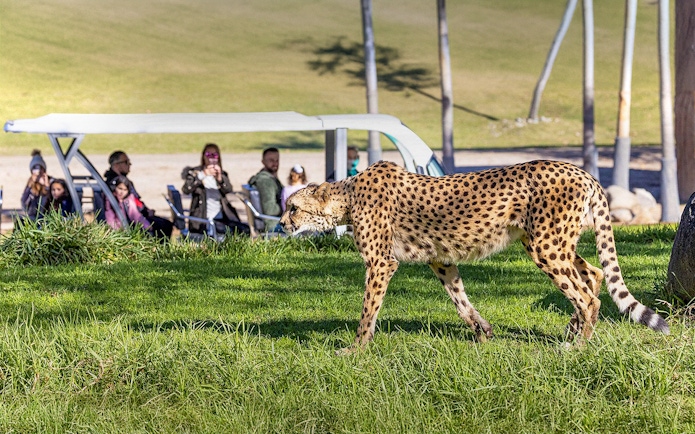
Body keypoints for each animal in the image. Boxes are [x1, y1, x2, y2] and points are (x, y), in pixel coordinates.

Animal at [280, 160, 669, 354]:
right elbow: (459, 298)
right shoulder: (440, 259)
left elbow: (367, 310)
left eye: (293, 207)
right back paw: (573, 329)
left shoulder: (381, 262)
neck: (346, 196)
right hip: (550, 241)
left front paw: (355, 350)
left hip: (545, 245)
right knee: (593, 274)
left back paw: (577, 346)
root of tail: (581, 170)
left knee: (587, 295)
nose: (282, 223)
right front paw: (482, 332)